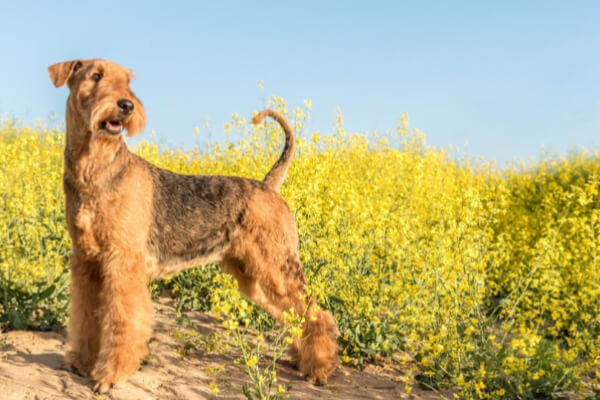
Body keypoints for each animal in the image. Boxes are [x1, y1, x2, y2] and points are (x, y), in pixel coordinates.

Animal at [48, 60, 338, 394]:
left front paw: (109, 376)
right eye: (96, 75)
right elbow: (85, 318)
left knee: (317, 314)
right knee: (294, 315)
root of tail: (268, 185)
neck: (96, 168)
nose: (127, 106)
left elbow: (122, 322)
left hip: (277, 268)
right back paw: (301, 360)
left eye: (127, 81)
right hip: (255, 277)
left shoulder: (123, 265)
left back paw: (319, 370)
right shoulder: (87, 262)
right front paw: (81, 363)